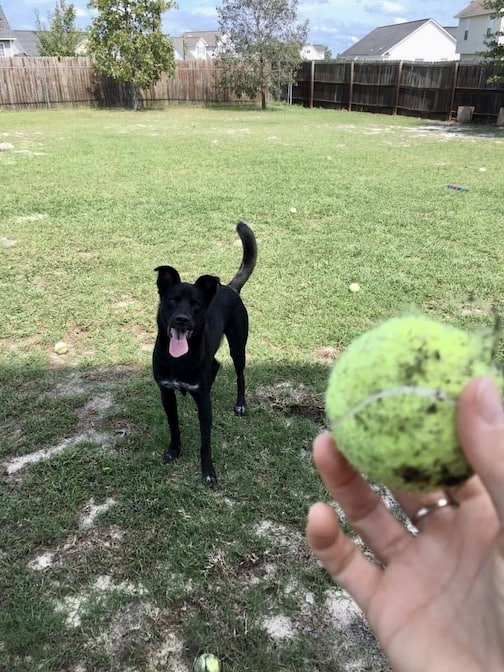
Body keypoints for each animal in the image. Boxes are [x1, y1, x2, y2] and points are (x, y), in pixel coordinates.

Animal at [153, 224, 256, 484]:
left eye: (196, 305)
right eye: (172, 300)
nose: (182, 320)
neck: (178, 360)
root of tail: (229, 288)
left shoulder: (204, 405)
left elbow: (205, 442)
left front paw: (208, 471)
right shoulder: (166, 393)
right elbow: (174, 426)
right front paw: (174, 451)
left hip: (238, 346)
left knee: (239, 375)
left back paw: (240, 405)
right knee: (216, 364)